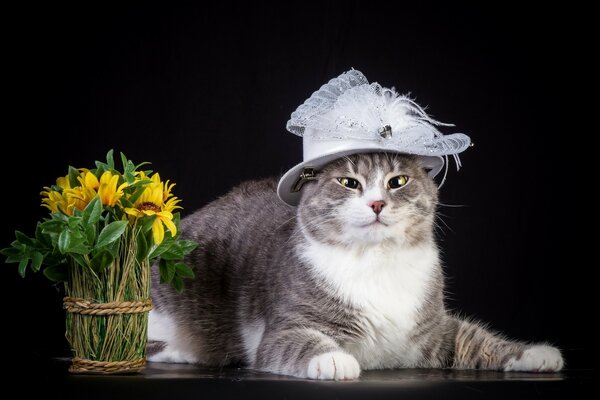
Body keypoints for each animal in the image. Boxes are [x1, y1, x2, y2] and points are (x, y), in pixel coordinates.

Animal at [148, 152, 564, 378]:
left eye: (398, 181)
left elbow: (475, 338)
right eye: (349, 182)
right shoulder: (284, 327)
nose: (377, 203)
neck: (375, 262)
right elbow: (296, 342)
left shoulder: (431, 329)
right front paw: (333, 359)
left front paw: (533, 353)